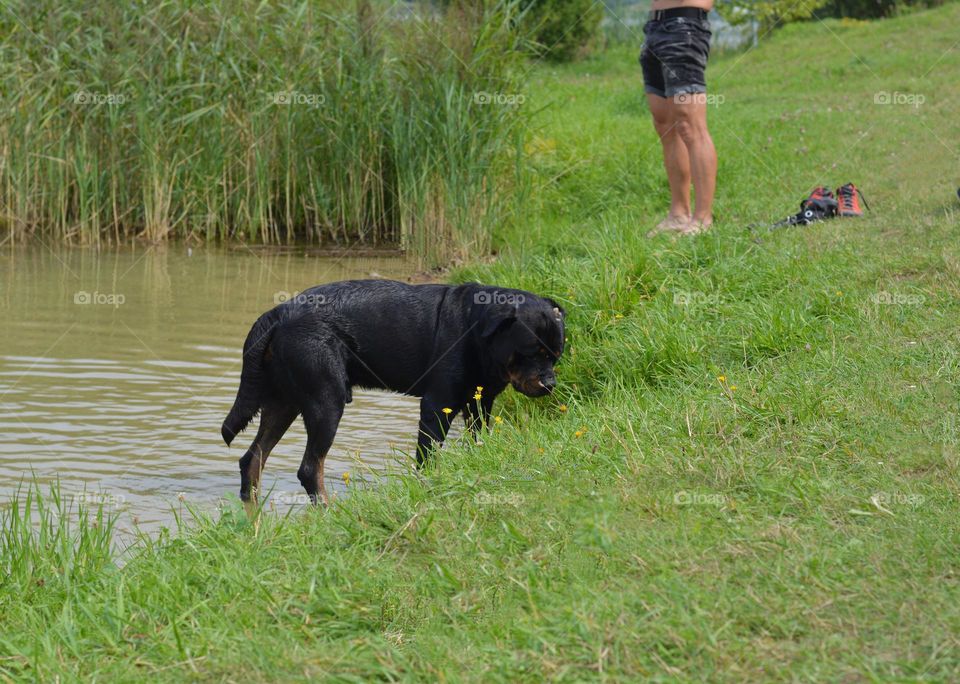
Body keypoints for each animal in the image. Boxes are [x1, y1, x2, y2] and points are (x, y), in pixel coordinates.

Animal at [221, 280, 568, 504]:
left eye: (555, 355)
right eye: (531, 352)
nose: (549, 383)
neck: (477, 333)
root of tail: (279, 312)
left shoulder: (479, 403)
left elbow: (477, 440)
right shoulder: (437, 405)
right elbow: (427, 457)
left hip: (283, 402)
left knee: (252, 459)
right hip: (326, 401)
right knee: (309, 469)